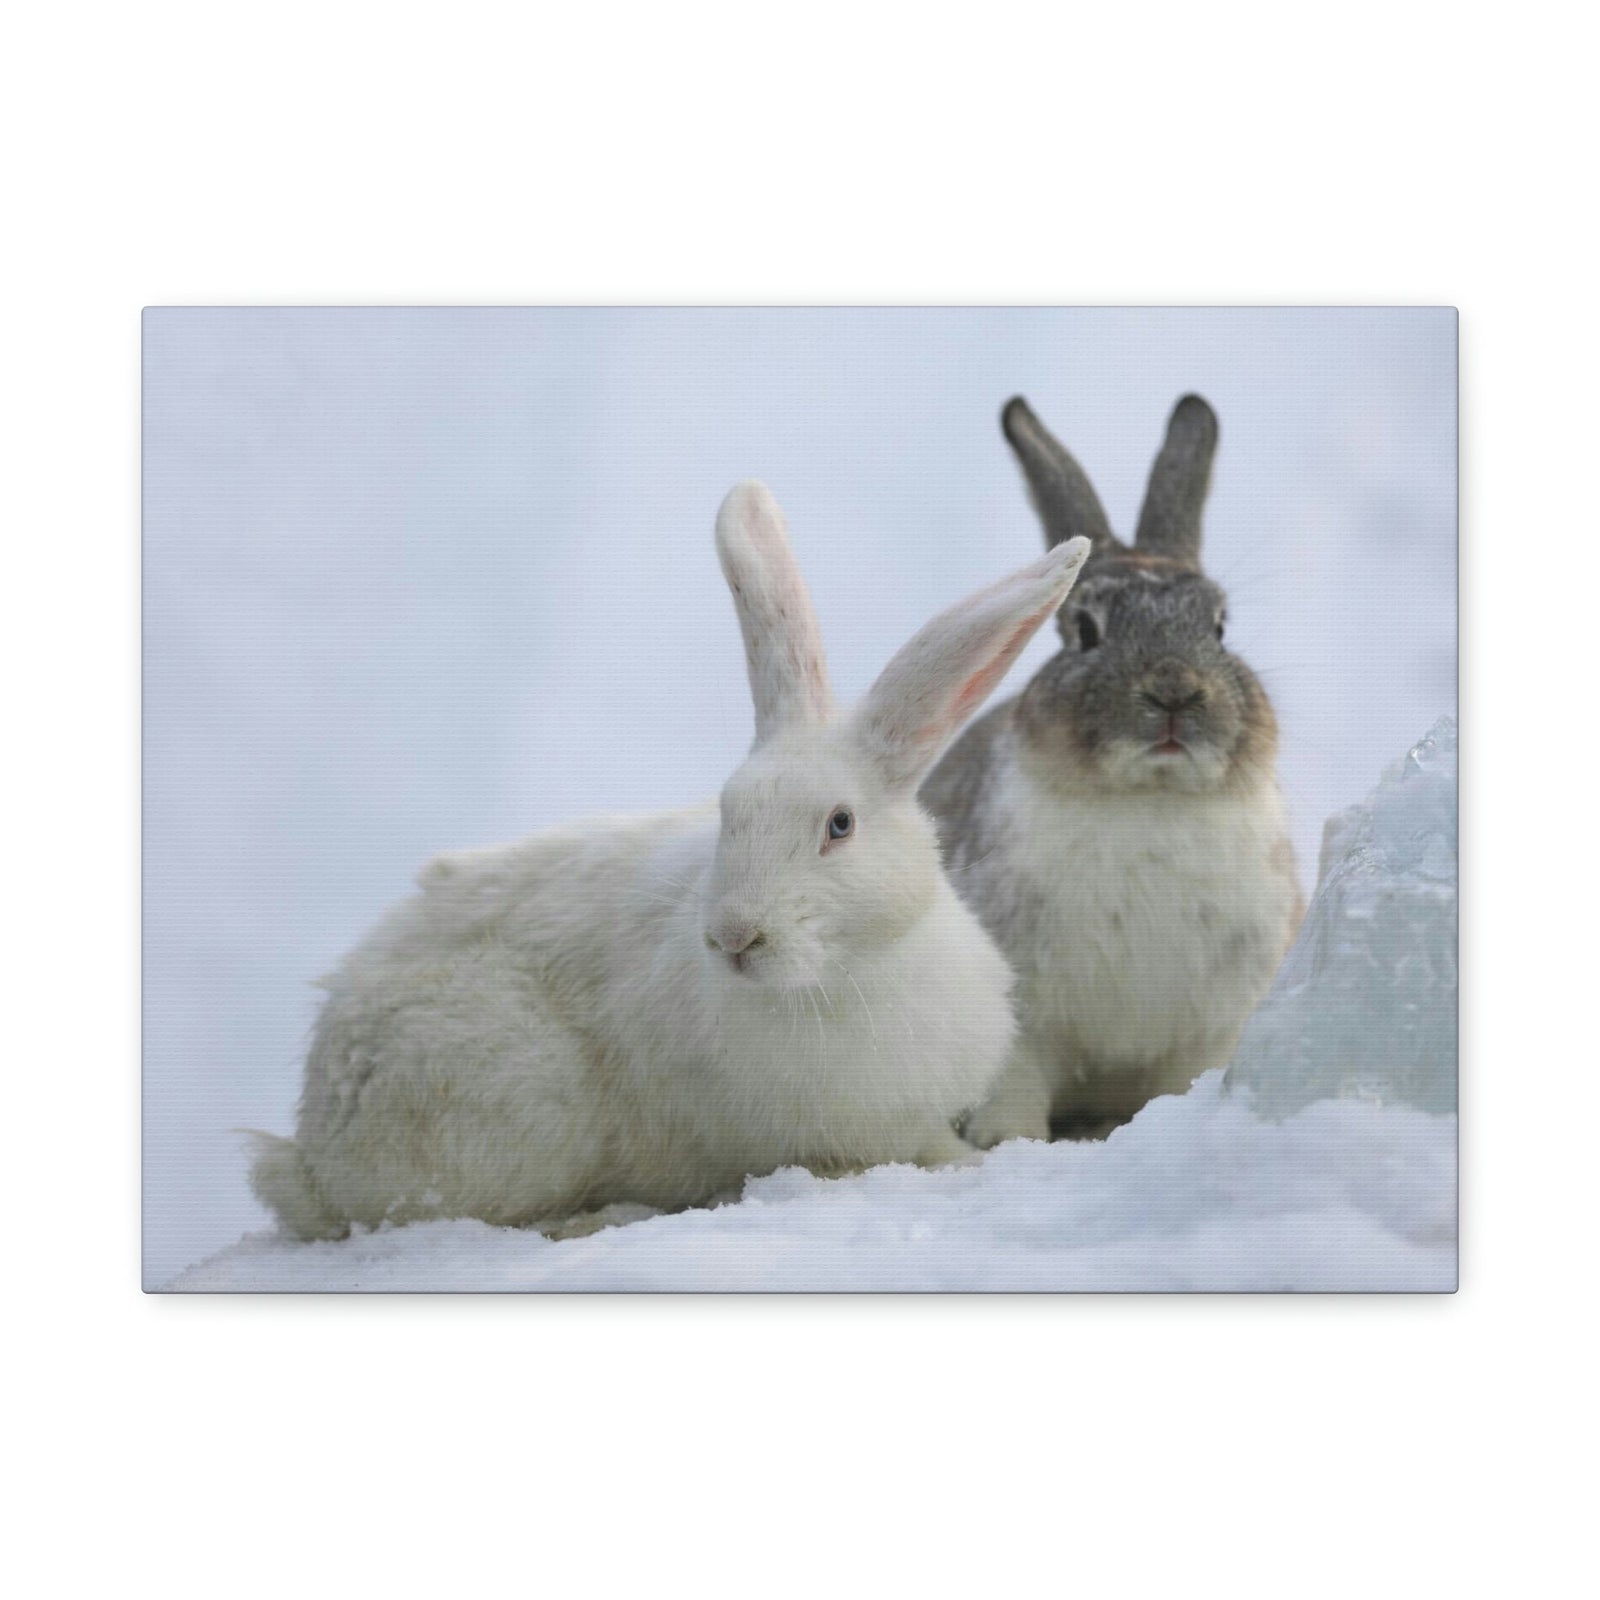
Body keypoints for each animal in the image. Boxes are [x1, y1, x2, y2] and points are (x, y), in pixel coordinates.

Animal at [250, 480, 1091, 1239]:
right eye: (728, 813)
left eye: (840, 825)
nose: (734, 937)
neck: (845, 971)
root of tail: (315, 1155)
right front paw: (969, 1161)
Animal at [921, 396, 1304, 1146]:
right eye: (1085, 630)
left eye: (1219, 626)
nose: (1174, 692)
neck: (1148, 798)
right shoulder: (1022, 1016)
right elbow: (1013, 1083)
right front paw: (1008, 1142)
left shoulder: (1212, 1026)